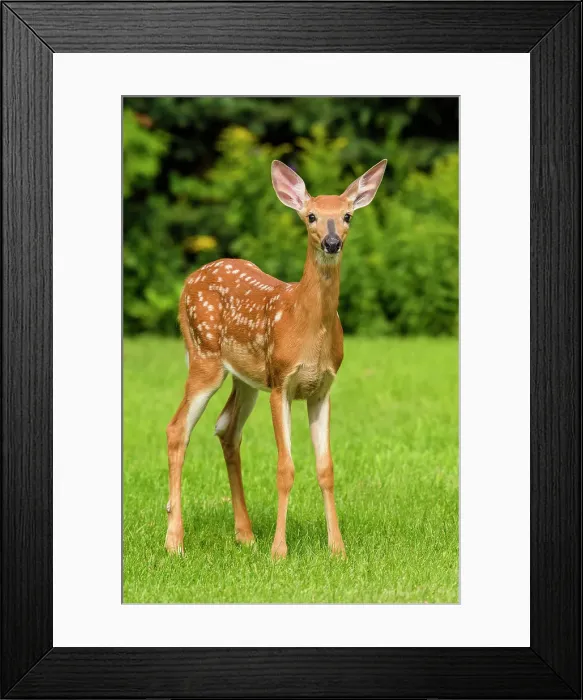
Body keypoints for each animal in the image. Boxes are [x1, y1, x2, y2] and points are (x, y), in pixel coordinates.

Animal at [165, 158, 387, 559]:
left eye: (347, 215)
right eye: (311, 216)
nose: (332, 242)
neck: (305, 325)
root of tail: (188, 281)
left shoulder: (322, 389)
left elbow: (326, 468)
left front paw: (337, 548)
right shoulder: (281, 381)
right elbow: (285, 468)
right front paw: (279, 552)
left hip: (246, 379)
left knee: (227, 430)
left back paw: (245, 534)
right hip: (204, 357)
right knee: (177, 430)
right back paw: (175, 541)